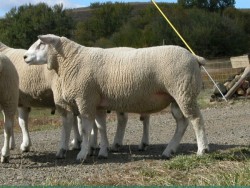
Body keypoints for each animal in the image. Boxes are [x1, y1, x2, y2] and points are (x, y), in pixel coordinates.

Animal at [23, 34, 209, 162]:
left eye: (41, 44)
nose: (24, 57)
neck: (72, 60)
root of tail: (194, 57)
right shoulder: (96, 102)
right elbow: (101, 127)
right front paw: (103, 152)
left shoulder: (85, 98)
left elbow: (86, 129)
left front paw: (83, 153)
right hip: (176, 96)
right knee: (182, 123)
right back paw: (169, 151)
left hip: (183, 91)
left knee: (196, 119)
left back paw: (202, 150)